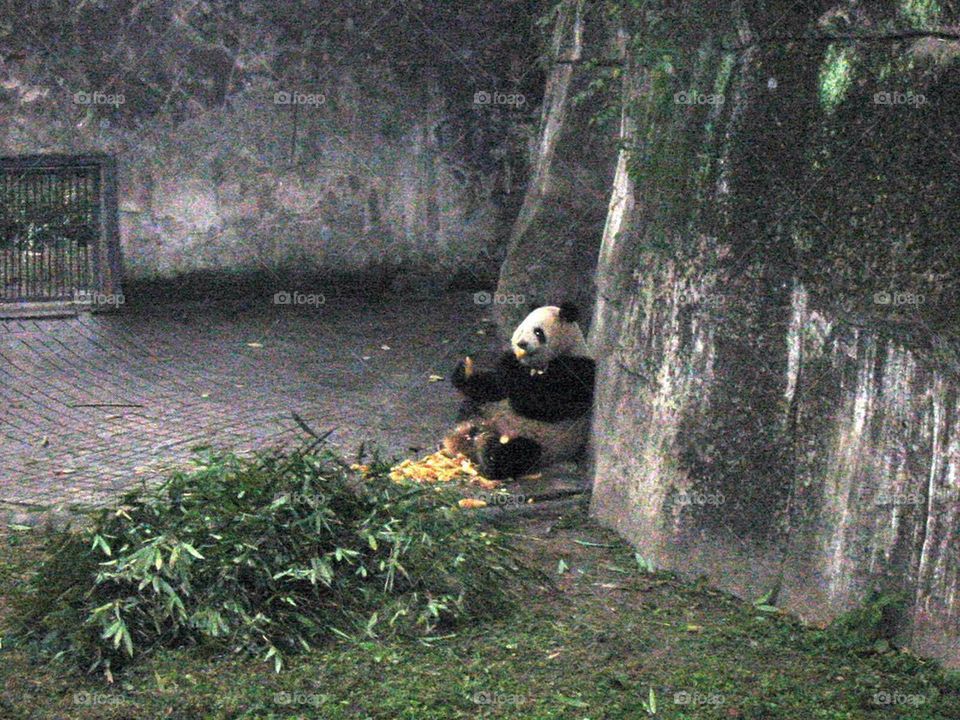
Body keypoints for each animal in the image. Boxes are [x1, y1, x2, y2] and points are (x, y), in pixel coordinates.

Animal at [443, 303, 595, 479]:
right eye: (521, 330)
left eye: (538, 332)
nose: (521, 344)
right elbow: (496, 388)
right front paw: (463, 373)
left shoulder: (577, 370)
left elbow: (538, 403)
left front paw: (509, 363)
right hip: (484, 412)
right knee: (472, 406)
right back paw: (466, 432)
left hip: (543, 443)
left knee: (518, 453)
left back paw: (486, 453)